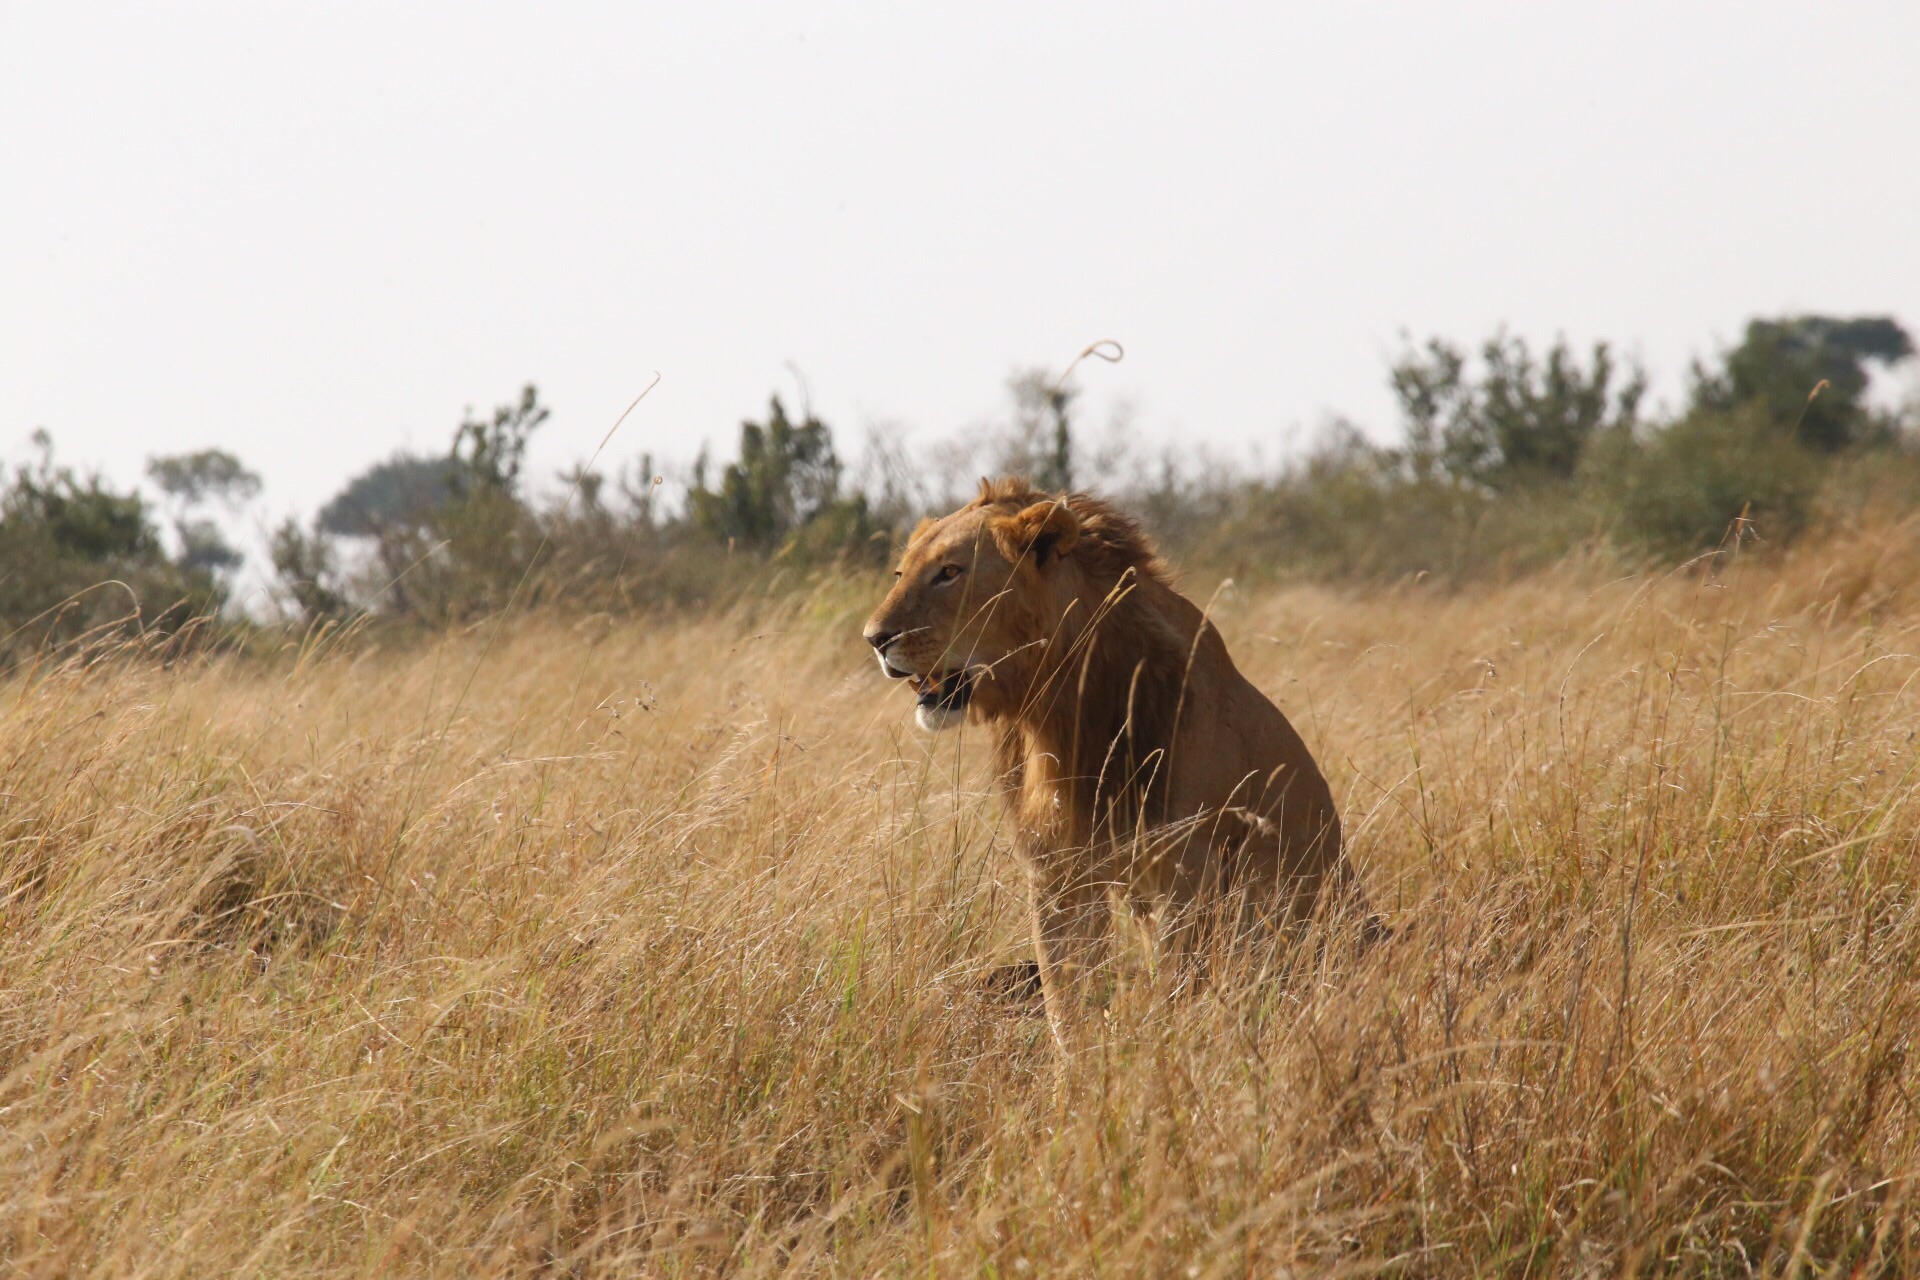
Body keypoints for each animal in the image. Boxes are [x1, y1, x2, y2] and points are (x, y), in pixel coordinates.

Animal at [864, 477, 1359, 1051]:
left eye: (949, 572)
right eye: (901, 573)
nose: (874, 639)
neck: (1056, 710)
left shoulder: (1186, 872)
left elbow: (1175, 990)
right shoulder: (1056, 874)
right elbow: (1067, 1005)